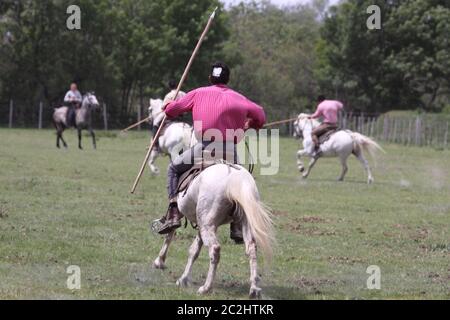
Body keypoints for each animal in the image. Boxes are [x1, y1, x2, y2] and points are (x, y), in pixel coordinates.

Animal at [153, 164, 276, 298]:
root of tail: (235, 179)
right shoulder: (202, 225)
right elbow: (194, 250)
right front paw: (183, 279)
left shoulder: (188, 217)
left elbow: (170, 234)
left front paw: (160, 261)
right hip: (241, 221)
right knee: (251, 248)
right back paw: (254, 289)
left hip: (207, 225)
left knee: (215, 249)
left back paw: (206, 288)